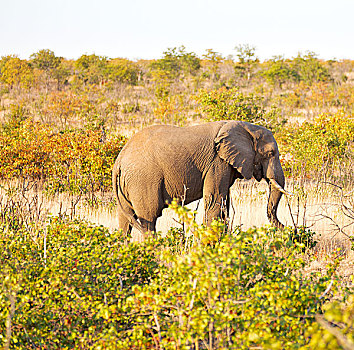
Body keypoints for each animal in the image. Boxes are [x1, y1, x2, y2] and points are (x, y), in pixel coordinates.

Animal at [112, 119, 292, 237]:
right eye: (271, 153)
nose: (289, 229)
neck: (245, 127)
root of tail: (119, 161)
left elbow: (224, 204)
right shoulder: (217, 163)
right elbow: (215, 202)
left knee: (125, 221)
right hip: (143, 180)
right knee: (149, 220)